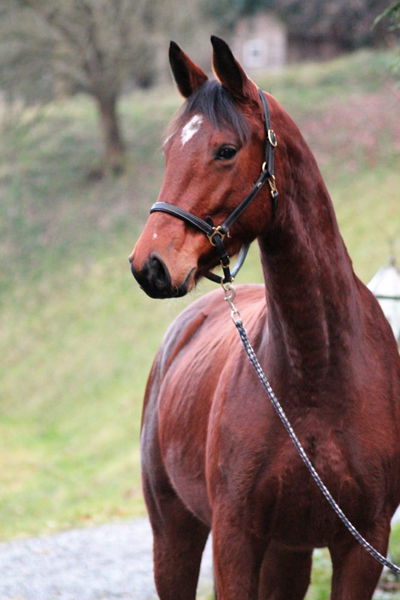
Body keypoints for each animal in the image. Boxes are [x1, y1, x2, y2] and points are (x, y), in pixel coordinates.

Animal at [130, 37, 400, 600]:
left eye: (226, 150)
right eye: (168, 151)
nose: (150, 265)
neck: (318, 372)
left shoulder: (363, 544)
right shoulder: (236, 536)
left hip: (288, 552)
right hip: (175, 536)